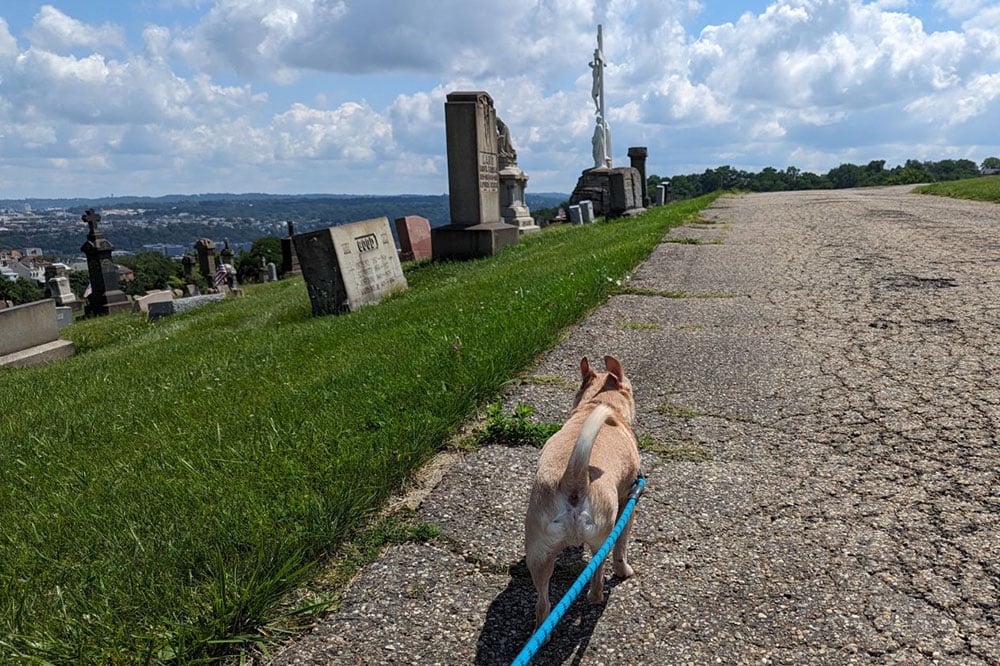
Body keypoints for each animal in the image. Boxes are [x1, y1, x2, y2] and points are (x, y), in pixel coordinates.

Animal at [524, 356, 640, 624]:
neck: (596, 404)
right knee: (596, 581)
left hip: (538, 552)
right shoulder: (627, 505)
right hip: (602, 536)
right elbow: (622, 548)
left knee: (543, 606)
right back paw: (597, 595)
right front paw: (624, 570)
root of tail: (573, 479)